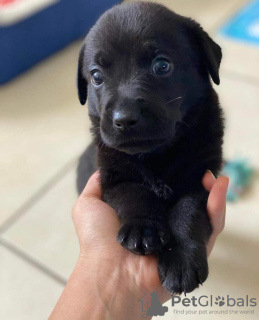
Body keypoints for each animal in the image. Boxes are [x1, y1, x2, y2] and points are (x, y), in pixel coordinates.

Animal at [76, 0, 224, 296]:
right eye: (96, 76)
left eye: (162, 66)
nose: (124, 118)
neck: (156, 155)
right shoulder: (113, 176)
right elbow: (133, 192)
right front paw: (143, 229)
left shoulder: (200, 176)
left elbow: (188, 211)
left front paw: (180, 258)